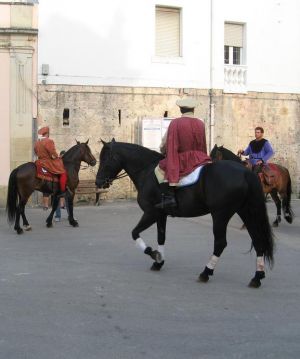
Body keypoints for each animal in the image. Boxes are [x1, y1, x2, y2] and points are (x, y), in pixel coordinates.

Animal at [96, 141, 274, 290]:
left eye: (105, 159)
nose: (98, 182)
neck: (147, 170)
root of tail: (245, 172)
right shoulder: (161, 215)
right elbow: (161, 237)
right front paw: (159, 262)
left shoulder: (151, 213)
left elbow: (134, 233)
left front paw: (154, 254)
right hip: (246, 211)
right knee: (258, 240)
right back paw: (257, 277)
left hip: (220, 215)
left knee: (220, 243)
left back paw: (206, 272)